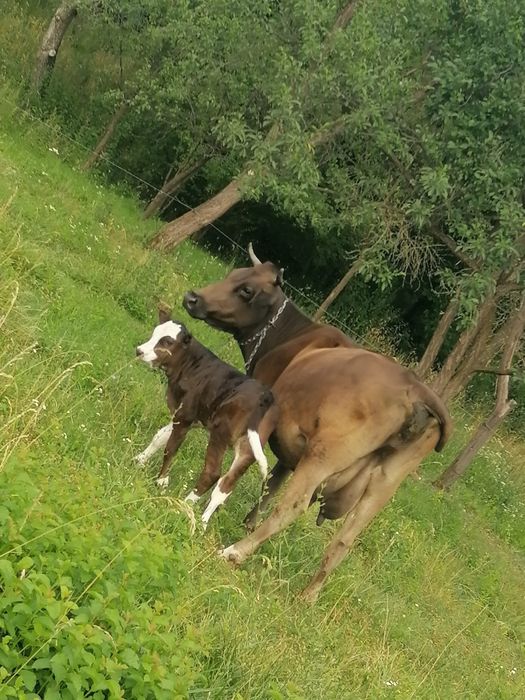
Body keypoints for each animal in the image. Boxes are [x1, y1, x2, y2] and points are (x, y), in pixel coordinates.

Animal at [135, 308, 279, 528]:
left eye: (167, 341)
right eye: (154, 333)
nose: (139, 351)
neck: (192, 366)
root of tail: (265, 394)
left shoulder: (184, 417)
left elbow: (170, 448)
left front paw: (161, 481)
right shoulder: (184, 416)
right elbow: (159, 437)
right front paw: (139, 460)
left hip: (221, 432)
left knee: (212, 473)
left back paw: (184, 504)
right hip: (249, 447)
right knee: (226, 485)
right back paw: (202, 522)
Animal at [183, 244, 452, 602]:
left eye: (247, 290)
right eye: (233, 274)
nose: (192, 297)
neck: (290, 340)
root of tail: (416, 387)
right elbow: (272, 483)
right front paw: (248, 521)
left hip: (325, 454)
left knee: (294, 505)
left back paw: (236, 552)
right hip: (385, 481)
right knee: (345, 540)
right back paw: (307, 597)